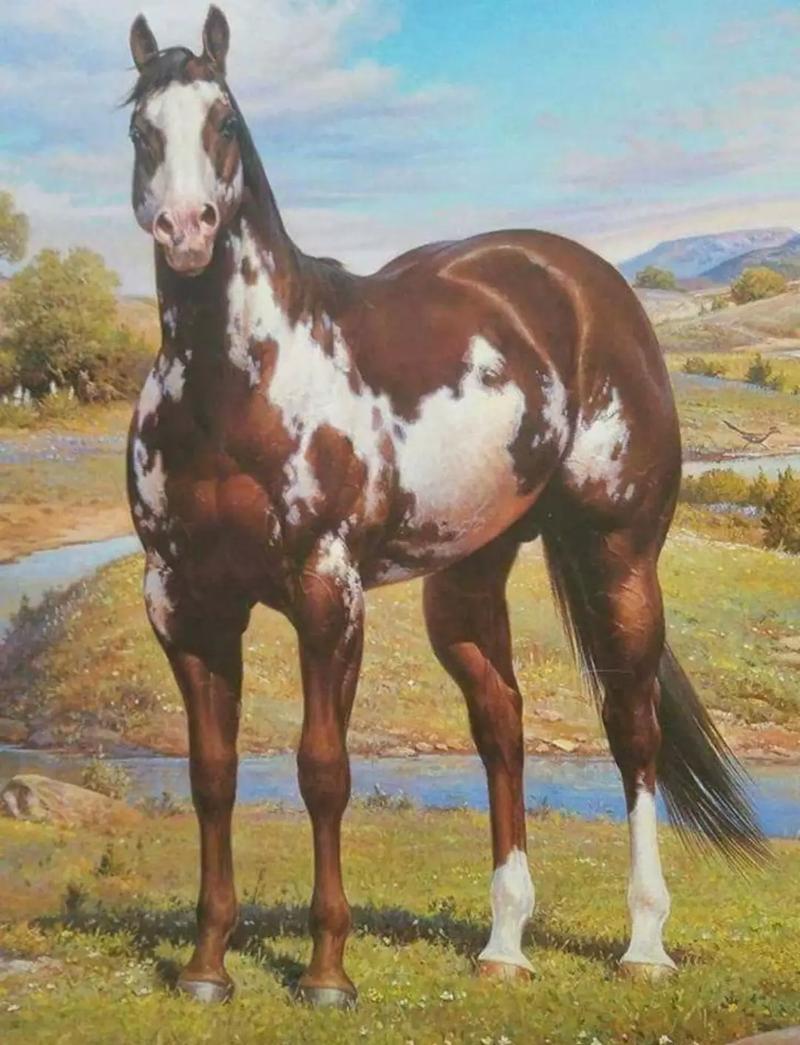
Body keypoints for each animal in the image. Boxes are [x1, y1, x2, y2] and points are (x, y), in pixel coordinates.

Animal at [125, 6, 765, 1010]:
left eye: (224, 120)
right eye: (140, 128)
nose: (186, 229)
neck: (238, 388)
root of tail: (588, 284)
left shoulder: (327, 595)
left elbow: (323, 769)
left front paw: (327, 974)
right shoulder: (185, 604)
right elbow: (212, 774)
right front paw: (206, 967)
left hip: (620, 558)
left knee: (633, 731)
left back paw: (645, 944)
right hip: (466, 579)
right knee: (502, 725)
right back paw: (505, 944)